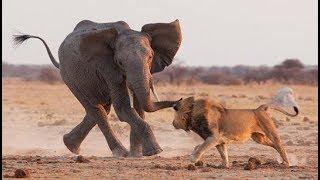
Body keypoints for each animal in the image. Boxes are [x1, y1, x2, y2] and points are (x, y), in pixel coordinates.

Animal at [13, 19, 182, 157]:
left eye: (151, 57)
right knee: (97, 110)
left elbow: (138, 106)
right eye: (120, 62)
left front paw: (137, 155)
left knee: (101, 109)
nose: (179, 100)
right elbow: (123, 109)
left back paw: (70, 145)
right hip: (70, 77)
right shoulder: (107, 67)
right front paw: (155, 152)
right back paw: (120, 153)